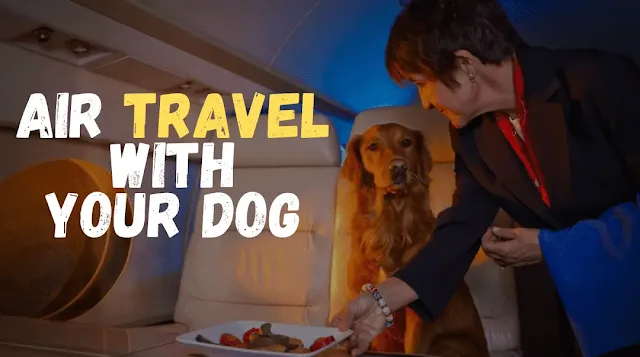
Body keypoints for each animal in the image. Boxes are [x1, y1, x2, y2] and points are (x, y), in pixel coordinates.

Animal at [342, 123, 488, 356]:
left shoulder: (419, 315)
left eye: (406, 142)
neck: (389, 225)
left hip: (446, 342)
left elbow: (414, 345)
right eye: (372, 146)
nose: (399, 167)